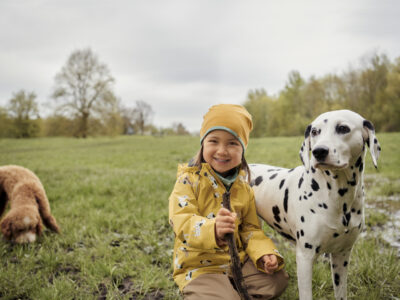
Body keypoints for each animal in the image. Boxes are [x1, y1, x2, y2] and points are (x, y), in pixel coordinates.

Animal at [250, 110, 382, 300]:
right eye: (314, 132)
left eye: (343, 128)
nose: (319, 151)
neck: (339, 198)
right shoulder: (305, 257)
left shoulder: (342, 255)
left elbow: (341, 292)